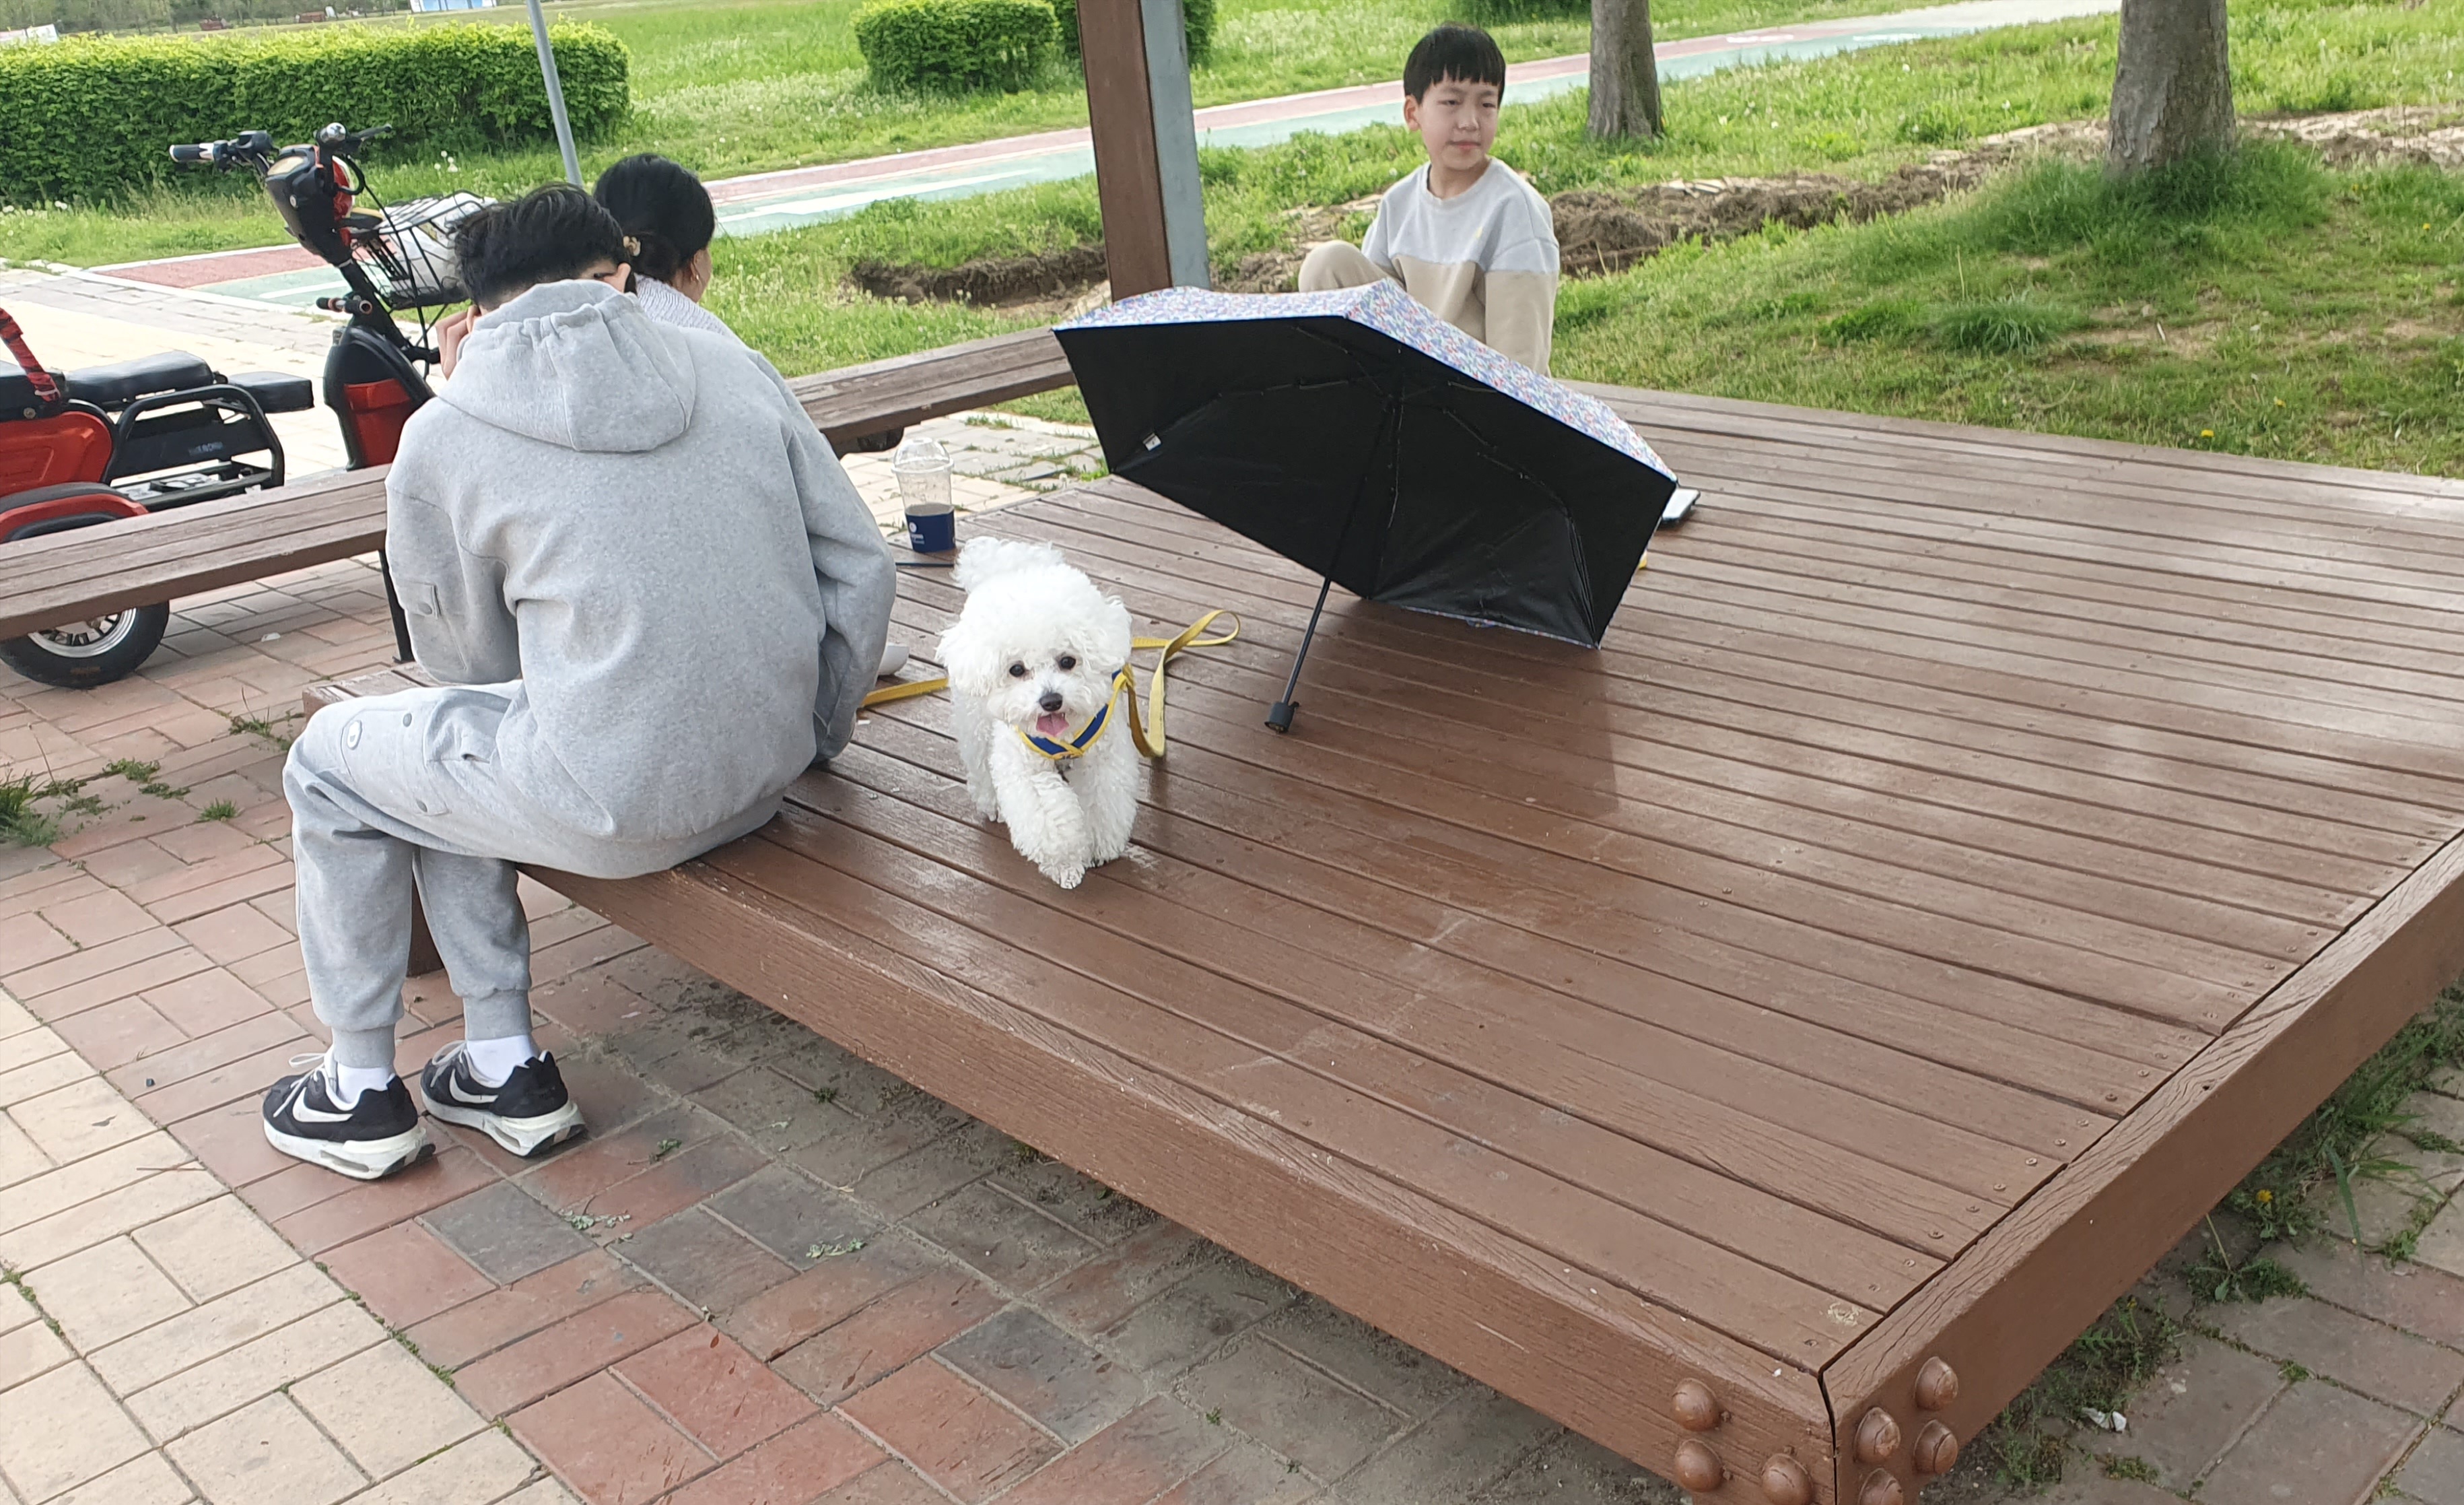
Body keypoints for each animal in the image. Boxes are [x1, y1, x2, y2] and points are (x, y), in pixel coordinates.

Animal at [936, 539, 1138, 886]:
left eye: (1068, 661)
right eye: (1017, 670)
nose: (1051, 701)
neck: (1065, 735)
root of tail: (1003, 569)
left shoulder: (1104, 758)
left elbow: (1102, 802)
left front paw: (1099, 847)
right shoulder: (1024, 768)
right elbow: (1049, 816)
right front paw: (1065, 863)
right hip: (975, 719)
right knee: (980, 763)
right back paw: (992, 803)